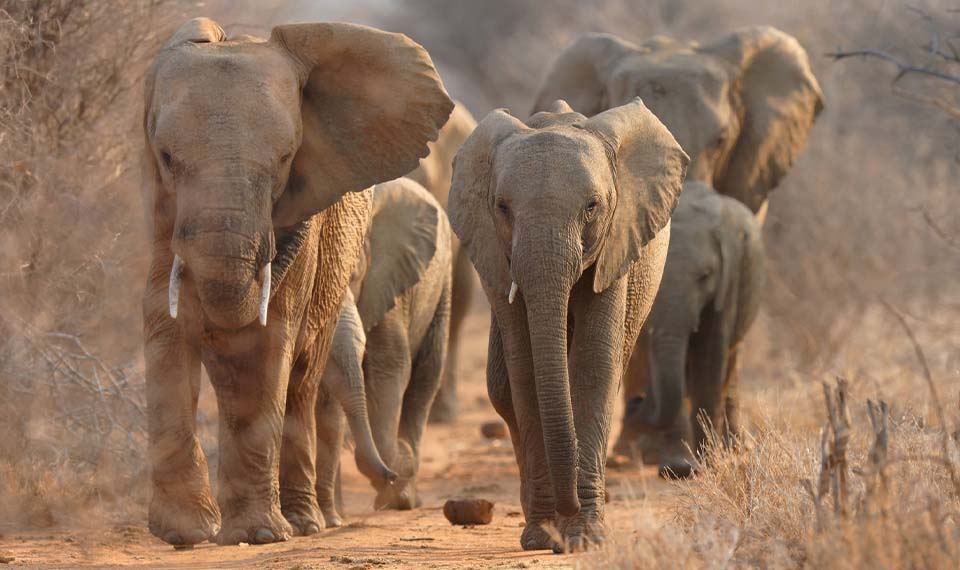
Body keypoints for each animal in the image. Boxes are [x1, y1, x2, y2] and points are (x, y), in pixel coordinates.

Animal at [315, 176, 452, 521]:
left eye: (352, 276)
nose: (394, 471)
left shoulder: (387, 282)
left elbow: (388, 366)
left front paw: (397, 485)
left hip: (442, 285)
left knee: (426, 378)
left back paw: (405, 494)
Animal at [449, 98, 688, 552]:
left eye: (592, 206)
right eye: (502, 207)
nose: (570, 506)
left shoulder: (617, 242)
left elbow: (594, 366)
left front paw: (586, 536)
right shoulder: (497, 253)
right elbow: (526, 373)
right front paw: (543, 536)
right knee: (502, 388)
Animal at [616, 182, 765, 478]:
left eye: (705, 276)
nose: (634, 403)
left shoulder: (728, 281)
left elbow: (711, 355)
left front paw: (708, 463)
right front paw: (678, 468)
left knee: (730, 360)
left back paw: (734, 449)